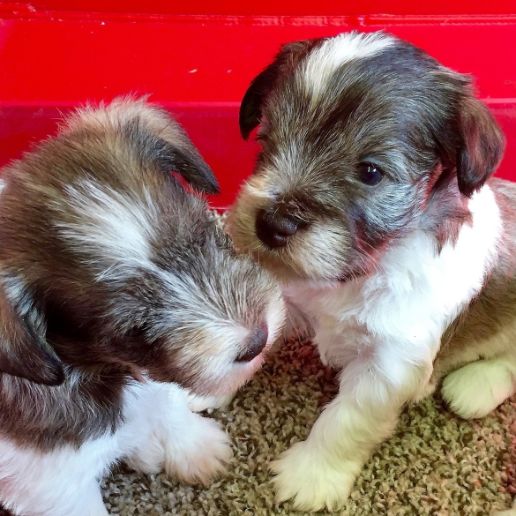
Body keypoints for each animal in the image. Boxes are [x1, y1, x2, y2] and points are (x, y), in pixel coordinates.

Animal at [0, 98, 286, 516]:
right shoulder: (56, 487)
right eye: (133, 329)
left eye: (204, 234)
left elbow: (165, 401)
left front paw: (196, 448)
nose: (257, 341)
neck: (104, 373)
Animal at [230, 32, 516, 512]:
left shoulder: (387, 366)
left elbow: (344, 422)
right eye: (267, 142)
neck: (362, 271)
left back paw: (475, 385)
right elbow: (259, 331)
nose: (272, 225)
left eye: (370, 172)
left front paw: (310, 475)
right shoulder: (291, 298)